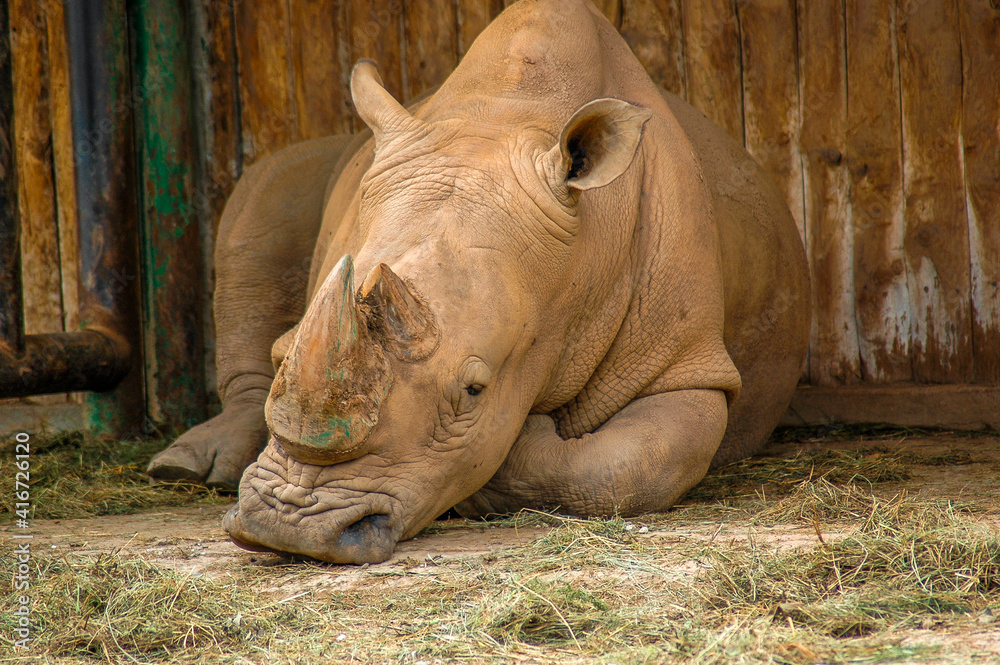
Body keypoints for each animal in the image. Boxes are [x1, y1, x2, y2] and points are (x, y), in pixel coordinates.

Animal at [148, 0, 809, 564]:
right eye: (284, 353)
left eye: (474, 391)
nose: (289, 525)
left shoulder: (687, 364)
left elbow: (628, 467)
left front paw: (517, 443)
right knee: (262, 191)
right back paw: (185, 466)